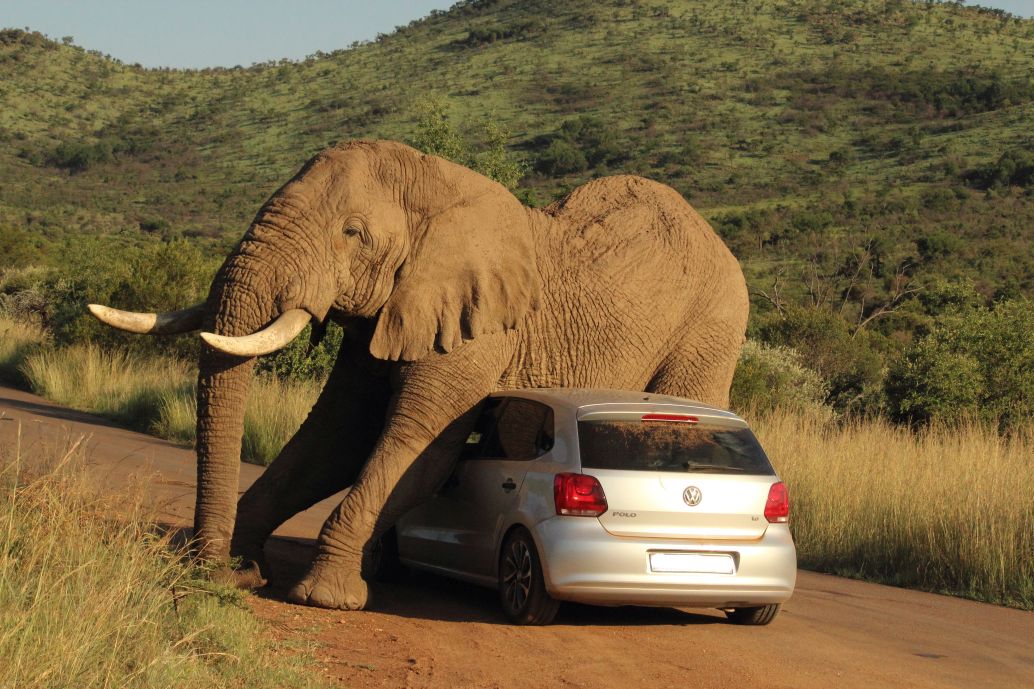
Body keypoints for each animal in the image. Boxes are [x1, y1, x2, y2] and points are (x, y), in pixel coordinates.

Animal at [88, 138, 748, 608]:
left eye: (351, 233)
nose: (210, 575)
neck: (435, 183)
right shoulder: (388, 312)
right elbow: (335, 439)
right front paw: (246, 569)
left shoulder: (479, 331)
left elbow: (418, 452)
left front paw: (324, 597)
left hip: (710, 327)